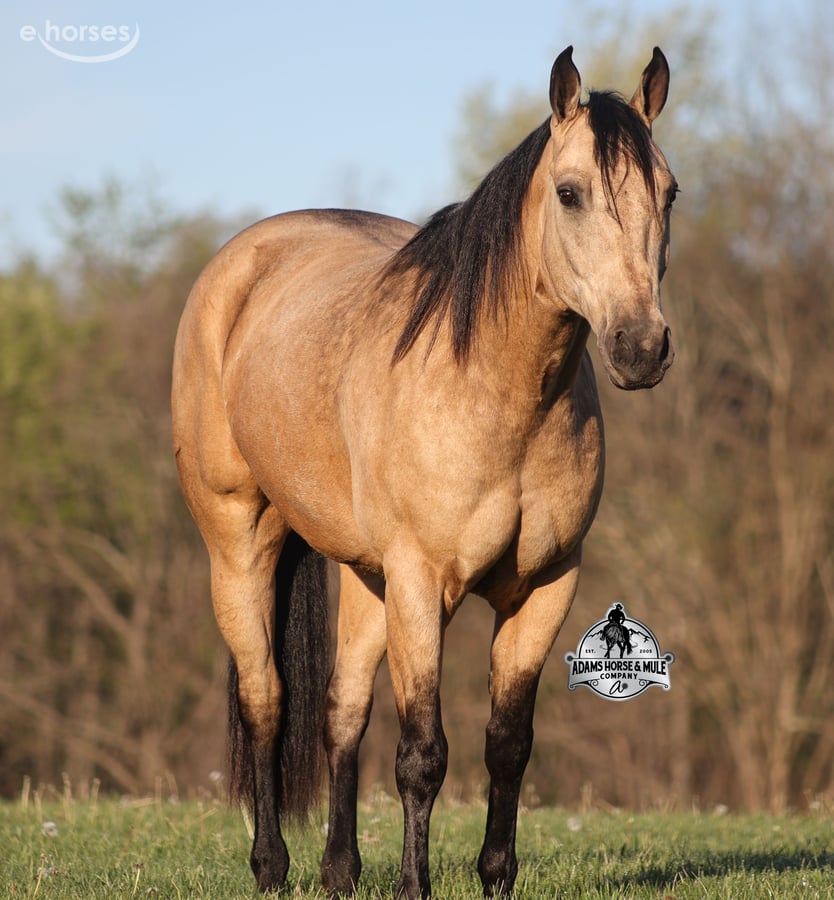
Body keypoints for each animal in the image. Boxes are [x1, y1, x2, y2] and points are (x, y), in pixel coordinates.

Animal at [172, 45, 677, 898]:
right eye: (570, 192)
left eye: (669, 192)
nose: (641, 346)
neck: (496, 391)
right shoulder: (420, 583)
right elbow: (422, 755)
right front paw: (416, 883)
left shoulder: (545, 587)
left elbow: (507, 742)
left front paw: (496, 877)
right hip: (240, 544)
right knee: (266, 700)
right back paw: (271, 867)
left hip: (364, 575)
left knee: (340, 712)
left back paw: (340, 871)